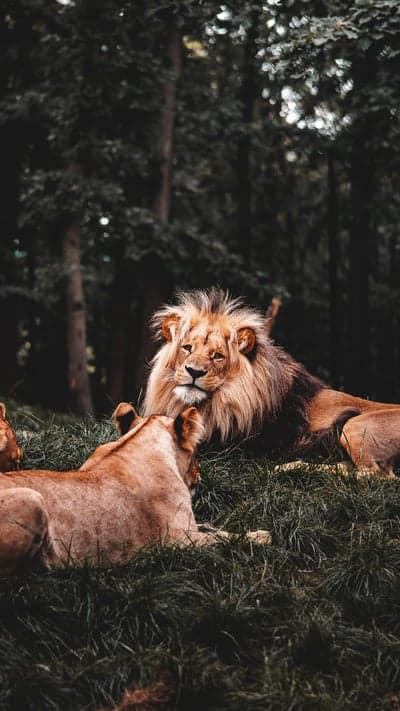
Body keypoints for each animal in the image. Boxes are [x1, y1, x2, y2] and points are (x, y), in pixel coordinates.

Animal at [0, 403, 270, 575]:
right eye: (196, 452)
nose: (200, 475)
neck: (141, 439)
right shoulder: (179, 542)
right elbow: (224, 538)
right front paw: (262, 537)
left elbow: (214, 528)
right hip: (33, 500)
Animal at [143, 289, 400, 477]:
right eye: (187, 348)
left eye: (217, 356)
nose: (194, 372)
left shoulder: (233, 447)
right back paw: (294, 466)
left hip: (355, 426)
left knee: (375, 476)